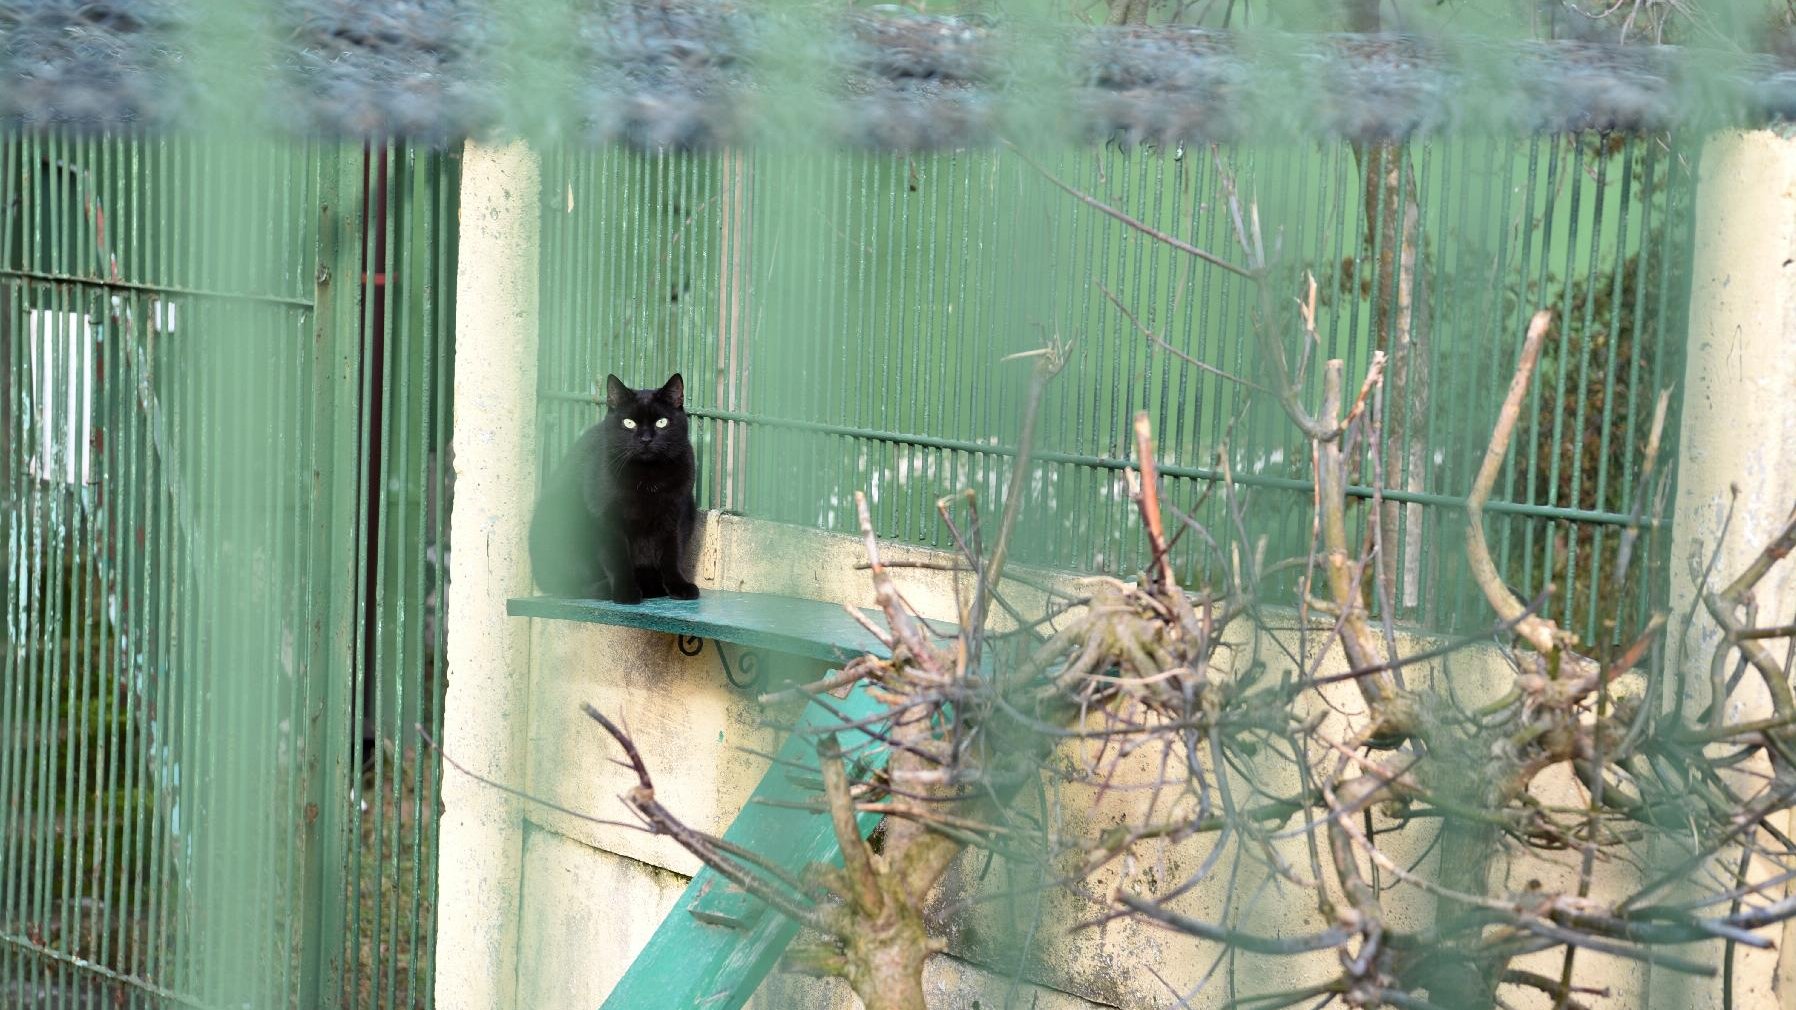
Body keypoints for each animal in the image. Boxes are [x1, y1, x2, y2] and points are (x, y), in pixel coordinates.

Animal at [528, 373, 696, 600]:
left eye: (662, 422)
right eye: (629, 423)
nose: (646, 439)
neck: (648, 477)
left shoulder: (676, 513)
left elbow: (673, 553)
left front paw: (679, 586)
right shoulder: (606, 517)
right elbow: (618, 557)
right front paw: (626, 592)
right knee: (571, 585)